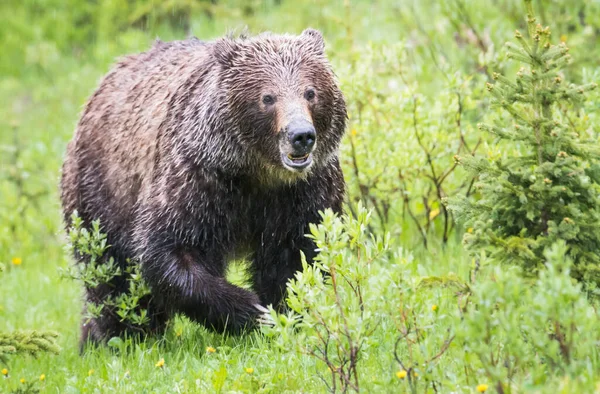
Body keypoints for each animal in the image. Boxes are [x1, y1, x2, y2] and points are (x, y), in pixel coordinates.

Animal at [61, 29, 346, 344]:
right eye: (267, 97)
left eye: (311, 92)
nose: (301, 135)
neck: (259, 173)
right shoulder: (199, 179)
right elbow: (169, 250)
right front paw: (252, 311)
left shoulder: (303, 193)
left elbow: (297, 257)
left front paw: (284, 314)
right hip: (103, 191)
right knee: (112, 278)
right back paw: (118, 337)